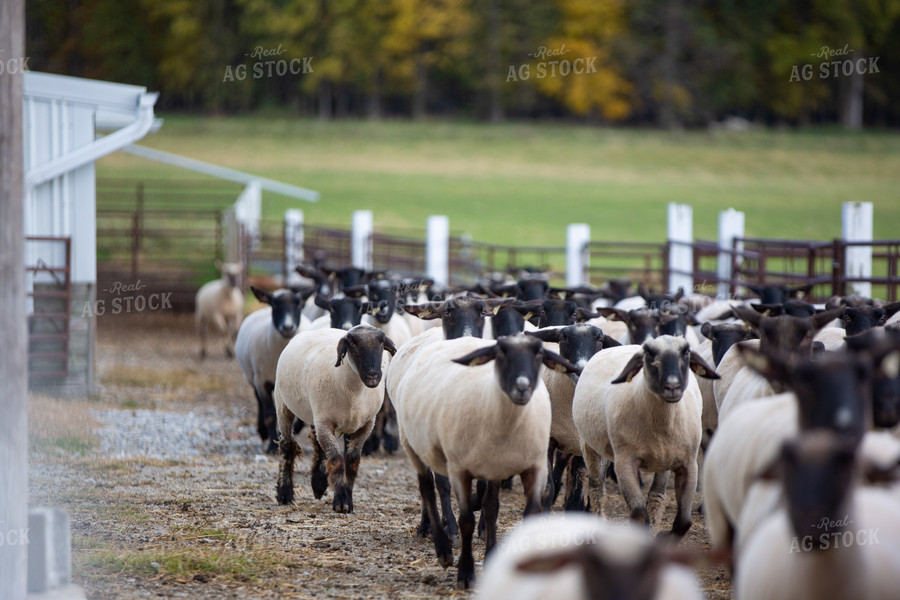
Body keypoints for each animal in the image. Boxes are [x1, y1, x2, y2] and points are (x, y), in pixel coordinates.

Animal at [236, 288, 312, 452]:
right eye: (275, 304)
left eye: (299, 304)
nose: (288, 327)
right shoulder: (261, 381)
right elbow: (270, 413)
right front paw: (272, 444)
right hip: (253, 377)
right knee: (259, 401)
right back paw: (263, 432)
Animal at [272, 326, 396, 512]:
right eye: (352, 343)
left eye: (381, 343)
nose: (373, 376)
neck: (354, 393)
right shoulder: (324, 422)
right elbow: (337, 459)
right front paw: (341, 502)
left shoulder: (366, 424)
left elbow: (352, 460)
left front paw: (348, 499)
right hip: (284, 405)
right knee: (287, 446)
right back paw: (285, 494)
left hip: (315, 413)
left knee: (318, 446)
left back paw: (318, 485)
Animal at [392, 336, 576, 588]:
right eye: (500, 354)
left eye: (539, 354)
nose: (522, 387)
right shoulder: (460, 470)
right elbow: (466, 520)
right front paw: (466, 573)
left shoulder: (526, 468)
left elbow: (496, 511)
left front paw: (493, 559)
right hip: (412, 444)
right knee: (427, 488)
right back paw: (443, 550)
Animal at [572, 336, 720, 536]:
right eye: (649, 354)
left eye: (686, 352)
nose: (672, 387)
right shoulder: (625, 463)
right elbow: (639, 514)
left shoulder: (689, 464)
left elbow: (684, 521)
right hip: (589, 445)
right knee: (596, 488)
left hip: (664, 459)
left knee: (656, 495)